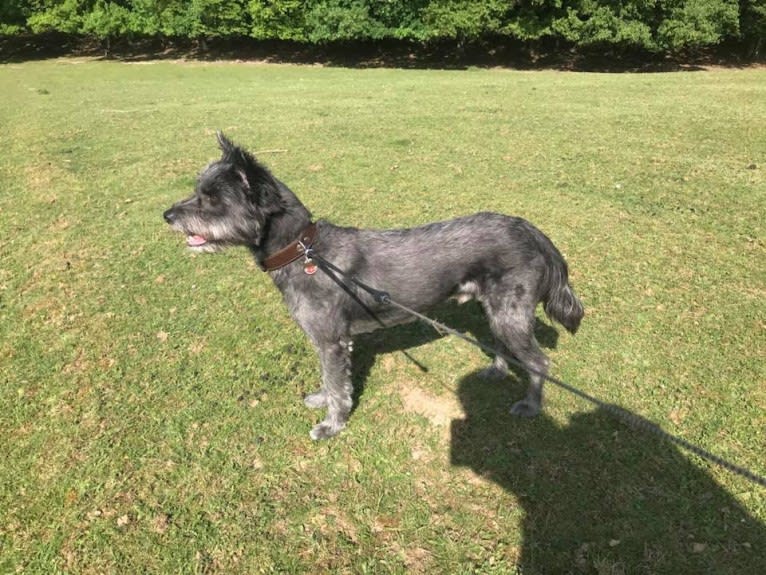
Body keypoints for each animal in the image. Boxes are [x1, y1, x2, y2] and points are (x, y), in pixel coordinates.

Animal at [165, 134, 584, 440]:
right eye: (198, 191)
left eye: (212, 199)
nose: (167, 215)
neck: (304, 251)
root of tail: (531, 231)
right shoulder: (329, 343)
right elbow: (329, 380)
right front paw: (321, 399)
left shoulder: (332, 340)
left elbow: (339, 386)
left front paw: (332, 425)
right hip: (498, 311)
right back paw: (497, 371)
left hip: (510, 312)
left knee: (539, 362)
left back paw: (531, 405)